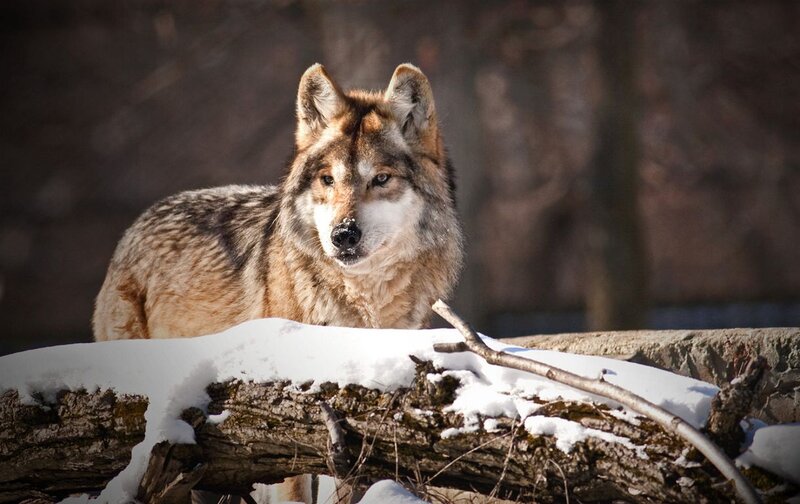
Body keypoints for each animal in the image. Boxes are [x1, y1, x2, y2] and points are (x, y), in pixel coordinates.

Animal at [92, 63, 464, 502]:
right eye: (327, 180)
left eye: (381, 179)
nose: (343, 235)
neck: (363, 299)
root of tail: (137, 224)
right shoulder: (283, 433)